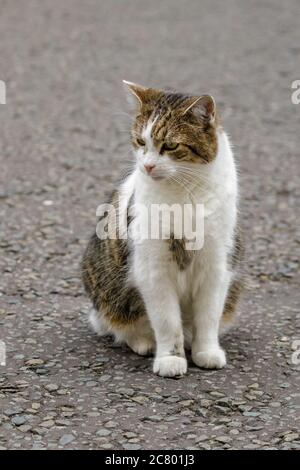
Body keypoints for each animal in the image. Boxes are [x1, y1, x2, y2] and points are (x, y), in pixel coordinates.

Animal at [81, 79, 244, 376]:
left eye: (170, 145)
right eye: (140, 141)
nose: (147, 166)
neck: (185, 192)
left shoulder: (216, 265)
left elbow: (208, 317)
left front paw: (206, 351)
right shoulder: (153, 268)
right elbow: (167, 321)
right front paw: (171, 359)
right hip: (108, 293)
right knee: (120, 325)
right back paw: (143, 342)